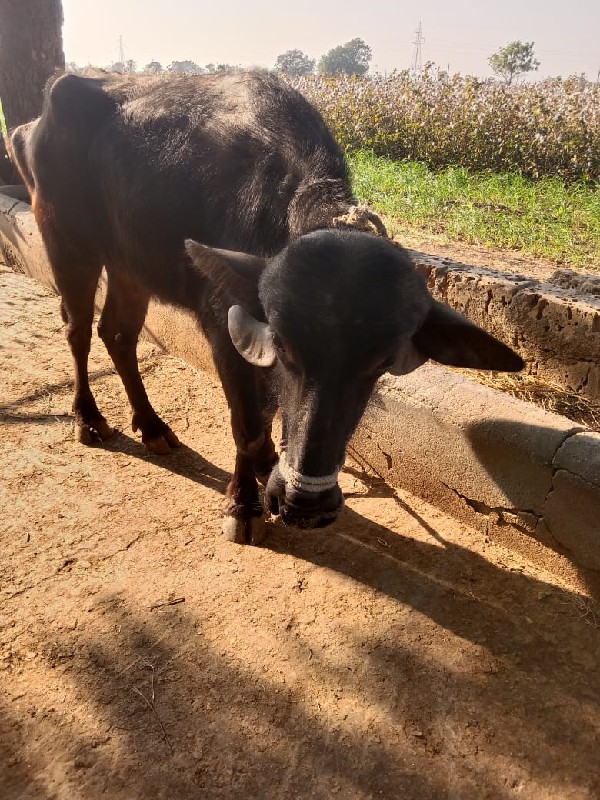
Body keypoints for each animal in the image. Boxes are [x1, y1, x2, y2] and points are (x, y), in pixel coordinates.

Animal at [11, 72, 524, 544]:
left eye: (382, 362)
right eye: (288, 347)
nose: (307, 505)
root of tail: (30, 125)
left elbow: (270, 407)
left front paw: (267, 466)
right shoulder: (224, 331)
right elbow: (248, 422)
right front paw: (244, 503)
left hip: (130, 266)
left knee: (117, 333)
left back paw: (153, 427)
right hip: (66, 243)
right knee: (77, 329)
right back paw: (90, 420)